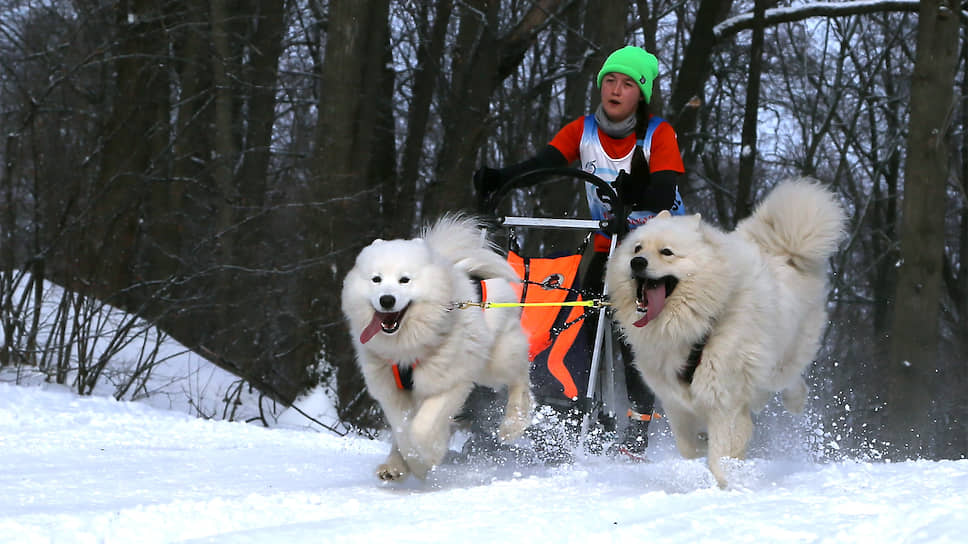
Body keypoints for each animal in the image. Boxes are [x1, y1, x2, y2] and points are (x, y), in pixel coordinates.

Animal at [344, 215, 532, 482]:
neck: (407, 348)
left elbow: (421, 428)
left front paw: (425, 460)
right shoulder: (390, 389)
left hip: (495, 363)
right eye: (376, 279)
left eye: (405, 279)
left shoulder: (448, 381)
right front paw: (403, 463)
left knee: (521, 377)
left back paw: (513, 423)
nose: (387, 299)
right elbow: (402, 428)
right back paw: (392, 465)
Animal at [608, 180, 844, 488]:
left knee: (791, 379)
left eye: (667, 252)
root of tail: (786, 252)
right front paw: (703, 444)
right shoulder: (674, 400)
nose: (637, 262)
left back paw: (795, 401)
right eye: (637, 247)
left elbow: (720, 454)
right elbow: (688, 446)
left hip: (782, 359)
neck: (699, 323)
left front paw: (728, 483)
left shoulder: (724, 397)